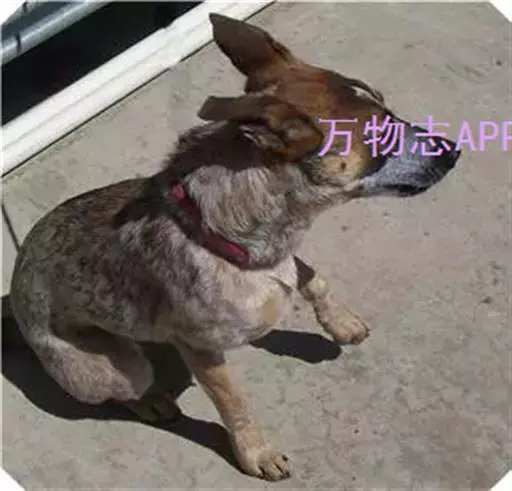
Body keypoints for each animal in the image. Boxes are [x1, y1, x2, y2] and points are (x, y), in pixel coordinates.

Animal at [9, 13, 460, 481]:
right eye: (380, 134)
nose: (456, 150)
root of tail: (14, 294)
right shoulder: (200, 349)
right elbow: (234, 404)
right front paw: (255, 453)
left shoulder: (280, 256)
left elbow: (313, 277)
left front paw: (340, 322)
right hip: (115, 368)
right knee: (125, 387)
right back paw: (149, 400)